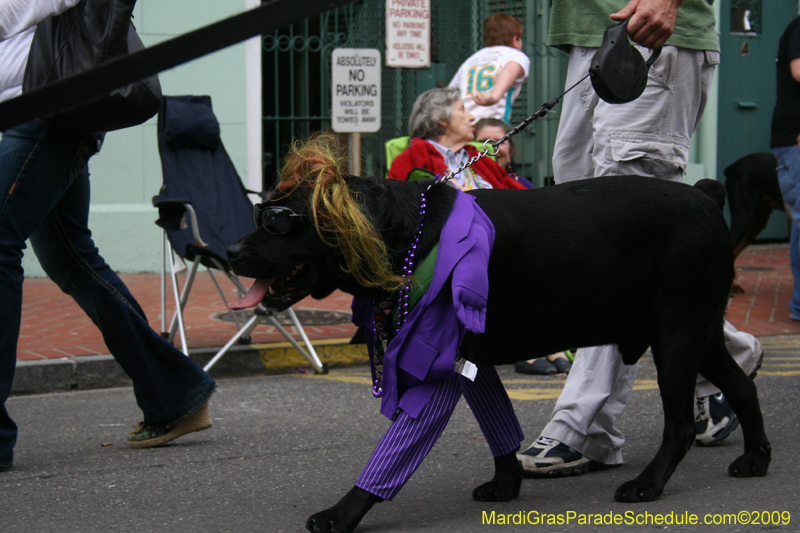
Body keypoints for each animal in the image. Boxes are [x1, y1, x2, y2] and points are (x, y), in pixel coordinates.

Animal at [223, 133, 768, 532]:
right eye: (263, 214)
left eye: (278, 222)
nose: (229, 250)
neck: (407, 235)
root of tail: (704, 196)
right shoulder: (470, 362)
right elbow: (498, 425)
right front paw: (506, 485)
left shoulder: (437, 371)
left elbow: (395, 452)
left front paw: (344, 513)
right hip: (696, 334)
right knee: (742, 386)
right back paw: (756, 458)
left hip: (676, 334)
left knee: (680, 426)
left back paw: (648, 485)